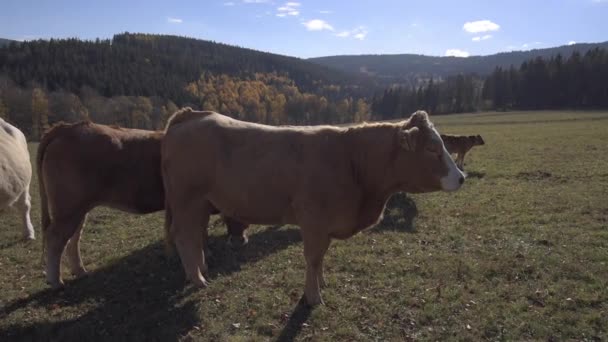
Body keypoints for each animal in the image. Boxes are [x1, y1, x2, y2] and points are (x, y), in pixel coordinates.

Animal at [39, 121, 247, 288]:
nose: (241, 241)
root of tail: (67, 127)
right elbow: (198, 233)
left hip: (78, 209)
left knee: (73, 238)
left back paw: (80, 271)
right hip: (68, 208)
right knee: (56, 238)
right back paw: (56, 281)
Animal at [162, 108, 466, 306]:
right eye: (431, 149)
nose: (461, 177)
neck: (351, 161)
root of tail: (191, 115)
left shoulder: (327, 224)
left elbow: (321, 257)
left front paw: (321, 284)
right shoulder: (314, 221)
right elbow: (312, 257)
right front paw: (313, 296)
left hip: (201, 202)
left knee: (194, 236)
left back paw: (200, 270)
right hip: (187, 200)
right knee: (184, 236)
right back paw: (197, 279)